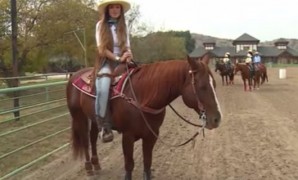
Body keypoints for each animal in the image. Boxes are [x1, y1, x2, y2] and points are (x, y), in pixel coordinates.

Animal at [67, 55, 221, 180]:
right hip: (78, 116)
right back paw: (88, 168)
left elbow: (147, 162)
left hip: (93, 118)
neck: (142, 97)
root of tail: (75, 75)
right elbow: (129, 165)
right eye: (202, 86)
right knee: (85, 140)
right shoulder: (127, 136)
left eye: (214, 84)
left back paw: (96, 164)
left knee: (93, 138)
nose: (217, 119)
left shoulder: (151, 135)